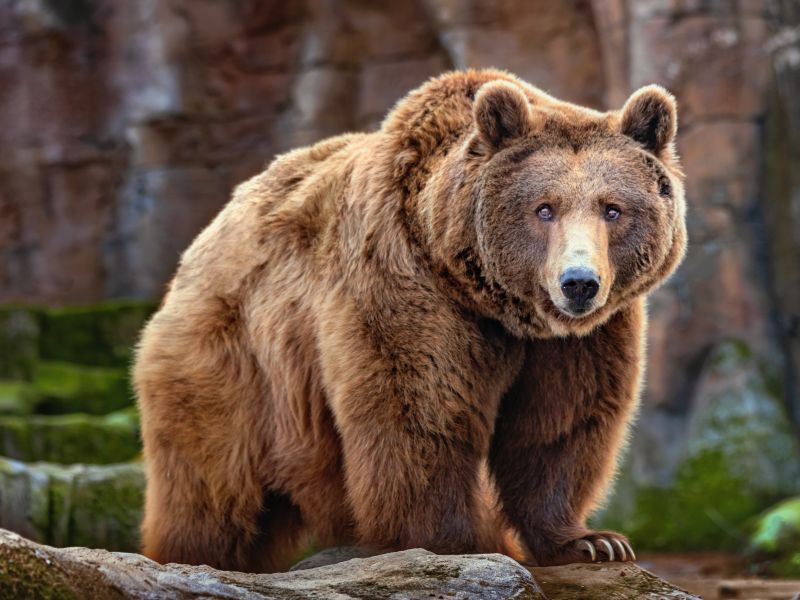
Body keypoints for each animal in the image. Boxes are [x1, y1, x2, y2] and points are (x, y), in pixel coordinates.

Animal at [134, 68, 687, 573]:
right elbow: (419, 414)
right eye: (543, 208)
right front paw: (457, 543)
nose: (579, 282)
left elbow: (561, 426)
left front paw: (592, 541)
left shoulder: (581, 339)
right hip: (232, 362)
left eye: (612, 209)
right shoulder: (405, 286)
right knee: (212, 484)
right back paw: (191, 556)